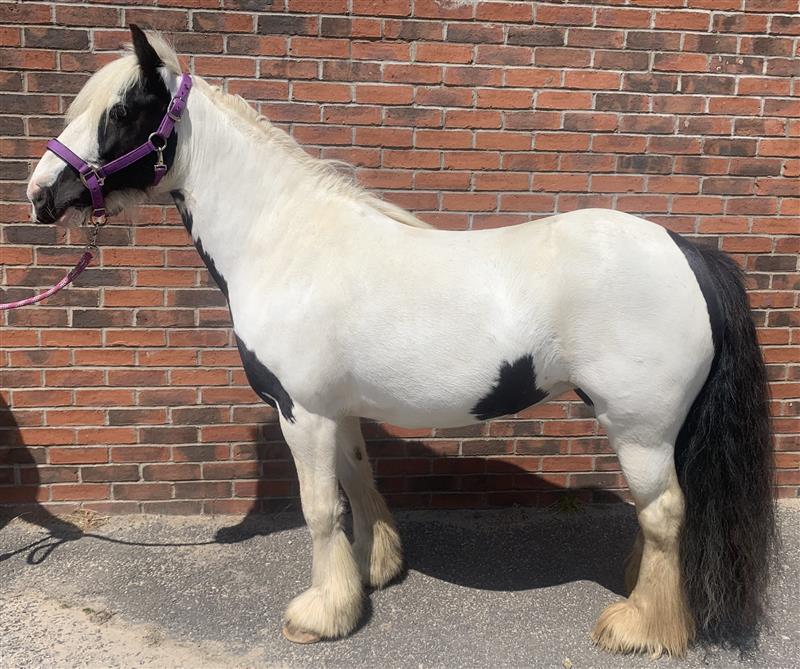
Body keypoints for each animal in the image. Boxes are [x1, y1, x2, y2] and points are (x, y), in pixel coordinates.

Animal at [26, 26, 775, 656]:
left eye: (123, 111)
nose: (40, 194)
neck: (285, 242)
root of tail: (685, 251)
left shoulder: (301, 411)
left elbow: (319, 508)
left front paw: (320, 615)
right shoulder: (338, 410)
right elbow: (360, 482)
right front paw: (372, 572)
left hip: (639, 428)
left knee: (666, 514)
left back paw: (640, 627)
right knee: (658, 521)